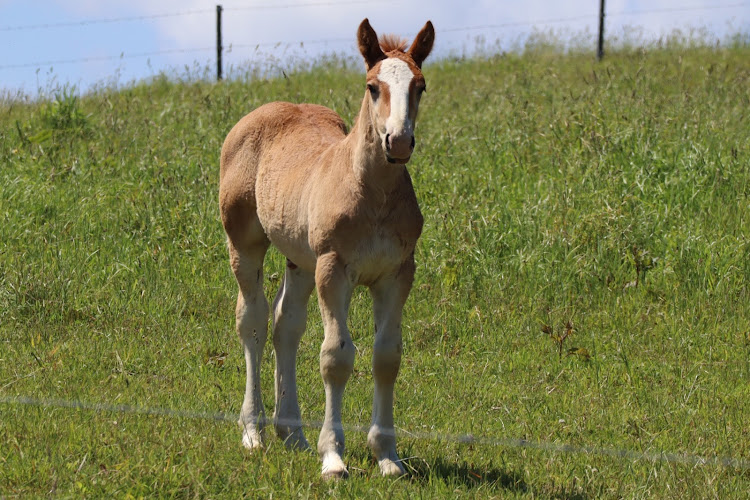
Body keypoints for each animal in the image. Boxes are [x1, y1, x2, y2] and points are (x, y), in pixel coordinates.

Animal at [219, 18, 434, 480]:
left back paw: (292, 433)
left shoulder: (397, 273)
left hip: (300, 260)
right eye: (373, 86)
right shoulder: (334, 270)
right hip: (245, 243)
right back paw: (253, 432)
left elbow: (387, 357)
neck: (372, 195)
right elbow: (336, 357)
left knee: (286, 324)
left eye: (420, 86)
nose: (398, 142)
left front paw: (387, 456)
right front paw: (333, 457)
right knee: (253, 321)